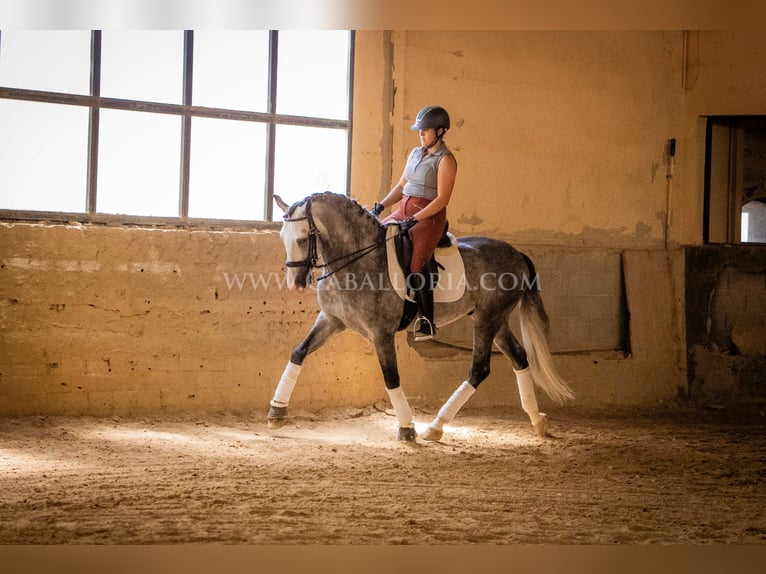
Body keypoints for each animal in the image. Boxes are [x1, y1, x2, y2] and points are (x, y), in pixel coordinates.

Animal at [268, 191, 572, 444]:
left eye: (302, 239)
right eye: (282, 237)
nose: (296, 282)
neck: (357, 260)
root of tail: (516, 253)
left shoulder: (381, 333)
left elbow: (391, 377)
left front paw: (406, 427)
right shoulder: (331, 320)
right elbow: (298, 353)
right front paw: (276, 412)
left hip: (487, 320)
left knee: (479, 369)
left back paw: (436, 426)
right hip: (495, 320)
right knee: (519, 357)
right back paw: (537, 421)